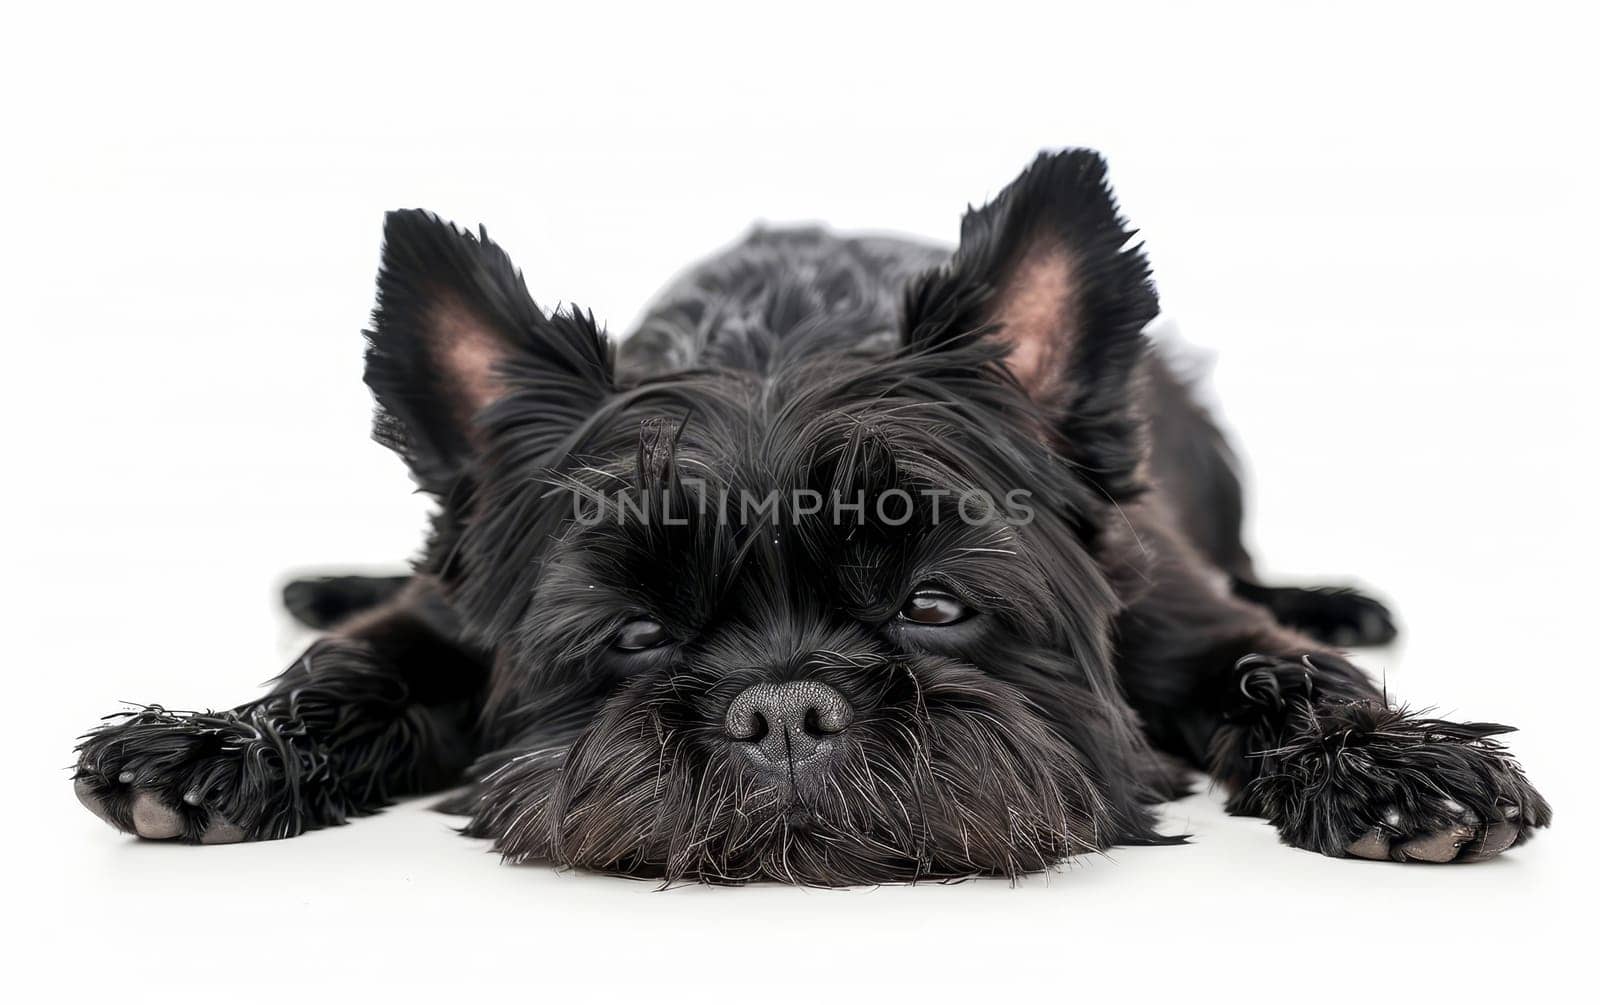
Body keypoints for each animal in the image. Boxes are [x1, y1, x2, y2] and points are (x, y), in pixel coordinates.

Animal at [75, 147, 1548, 876]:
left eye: (936, 603)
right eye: (634, 639)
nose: (784, 709)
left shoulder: (1175, 605)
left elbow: (1278, 669)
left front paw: (1395, 764)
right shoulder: (444, 620)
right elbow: (350, 664)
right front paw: (215, 744)